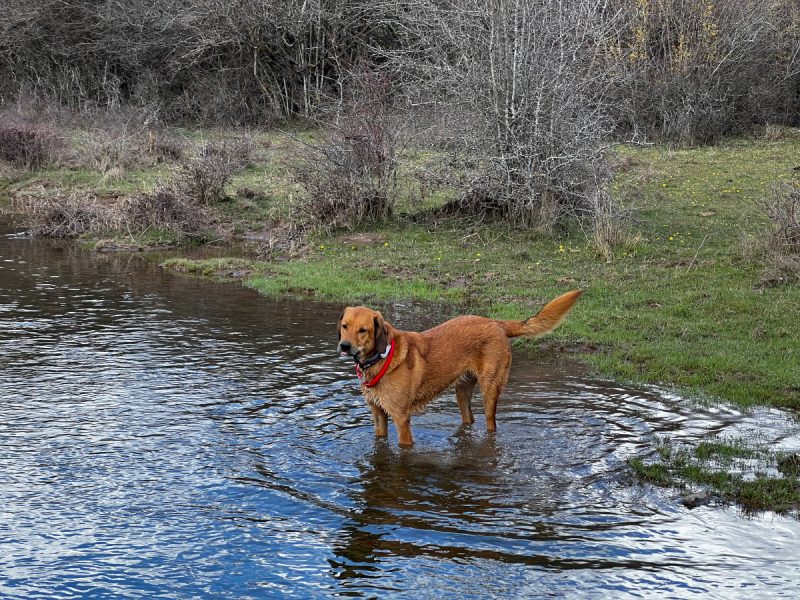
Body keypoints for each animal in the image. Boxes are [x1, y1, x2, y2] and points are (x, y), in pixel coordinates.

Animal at [338, 288, 580, 448]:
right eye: (344, 326)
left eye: (363, 330)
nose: (344, 346)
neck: (380, 358)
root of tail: (495, 322)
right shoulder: (378, 414)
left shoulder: (401, 418)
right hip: (462, 391)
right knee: (469, 420)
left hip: (490, 390)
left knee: (491, 424)